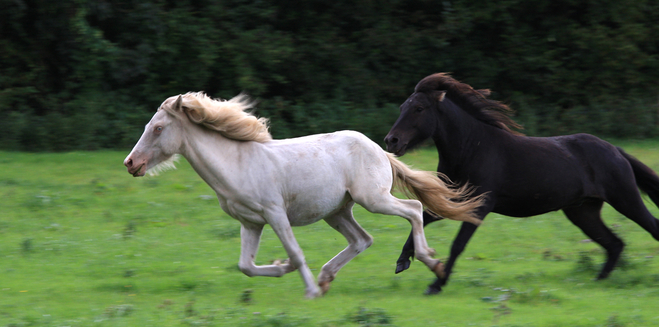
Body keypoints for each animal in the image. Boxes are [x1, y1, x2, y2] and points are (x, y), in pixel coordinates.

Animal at [125, 92, 484, 300]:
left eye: (158, 128)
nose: (131, 163)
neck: (236, 163)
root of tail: (380, 148)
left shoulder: (275, 214)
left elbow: (296, 253)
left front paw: (308, 290)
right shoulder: (250, 223)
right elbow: (246, 265)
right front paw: (282, 268)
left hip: (373, 199)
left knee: (414, 208)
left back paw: (431, 263)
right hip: (337, 211)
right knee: (362, 239)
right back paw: (327, 278)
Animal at [384, 73, 659, 294]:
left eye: (419, 108)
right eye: (403, 106)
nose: (391, 140)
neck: (472, 148)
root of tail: (616, 150)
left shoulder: (480, 205)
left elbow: (457, 244)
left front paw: (436, 284)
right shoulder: (453, 200)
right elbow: (421, 218)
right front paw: (403, 260)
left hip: (625, 199)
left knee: (650, 228)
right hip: (583, 212)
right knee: (614, 244)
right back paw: (598, 280)